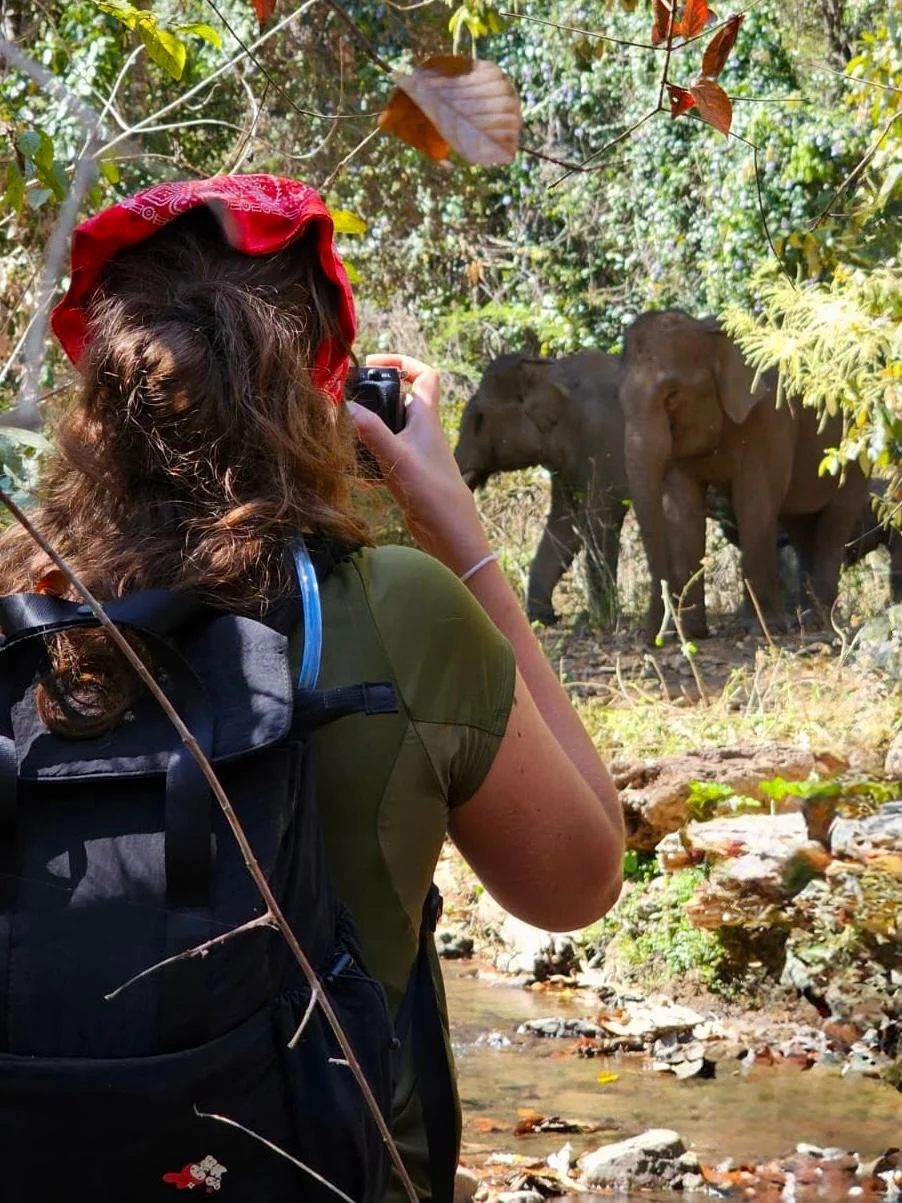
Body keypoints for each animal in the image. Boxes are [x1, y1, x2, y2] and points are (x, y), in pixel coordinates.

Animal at [454, 351, 629, 626]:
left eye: (479, 419)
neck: (548, 369)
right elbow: (564, 524)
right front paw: (543, 618)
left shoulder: (603, 443)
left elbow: (601, 517)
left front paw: (599, 620)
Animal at [620, 308, 868, 640]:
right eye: (620, 399)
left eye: (671, 395)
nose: (652, 638)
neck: (710, 334)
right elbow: (684, 513)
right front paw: (693, 633)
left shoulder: (771, 418)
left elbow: (754, 504)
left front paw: (761, 630)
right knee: (802, 528)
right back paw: (807, 619)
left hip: (855, 448)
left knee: (835, 523)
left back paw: (820, 621)